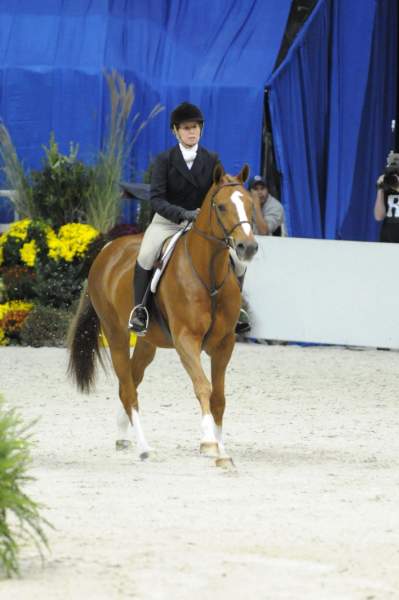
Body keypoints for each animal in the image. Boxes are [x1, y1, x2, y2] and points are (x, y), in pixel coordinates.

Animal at [68, 163, 260, 468]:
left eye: (250, 204)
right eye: (220, 206)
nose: (247, 247)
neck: (208, 274)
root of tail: (107, 250)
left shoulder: (224, 344)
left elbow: (218, 397)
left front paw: (222, 451)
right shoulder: (186, 341)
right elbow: (203, 387)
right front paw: (209, 443)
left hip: (147, 343)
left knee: (130, 382)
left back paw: (123, 436)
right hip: (116, 334)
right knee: (128, 389)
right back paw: (145, 448)